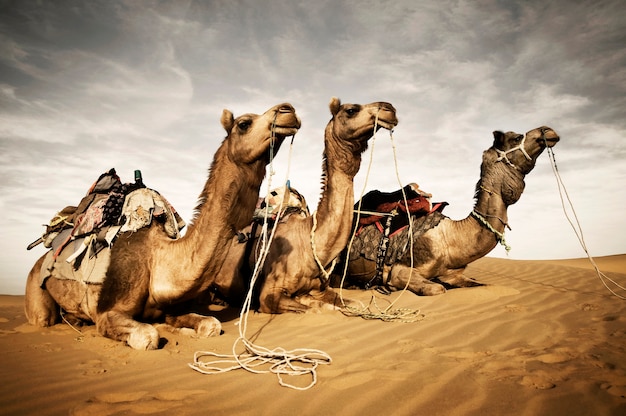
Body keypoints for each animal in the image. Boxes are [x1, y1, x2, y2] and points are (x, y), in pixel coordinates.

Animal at [22, 102, 300, 350]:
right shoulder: (107, 313)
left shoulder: (171, 307)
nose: (288, 110)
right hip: (36, 292)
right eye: (244, 124)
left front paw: (181, 330)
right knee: (44, 318)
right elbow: (148, 336)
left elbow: (210, 324)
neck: (158, 258)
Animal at [214, 97, 398, 312]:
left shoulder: (320, 287)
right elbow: (316, 308)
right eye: (351, 110)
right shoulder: (268, 295)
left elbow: (353, 304)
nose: (389, 109)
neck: (309, 243)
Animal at [342, 126, 560, 296]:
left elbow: (486, 285)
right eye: (516, 137)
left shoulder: (453, 274)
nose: (548, 131)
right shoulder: (400, 270)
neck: (451, 238)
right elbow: (436, 288)